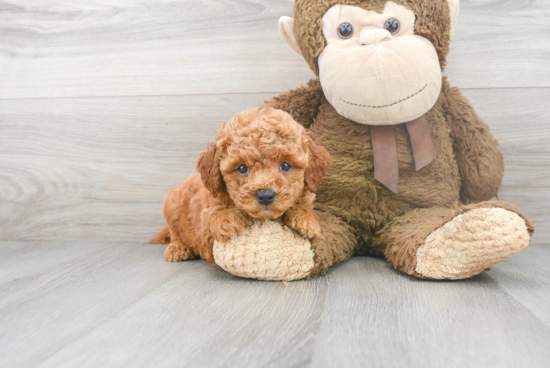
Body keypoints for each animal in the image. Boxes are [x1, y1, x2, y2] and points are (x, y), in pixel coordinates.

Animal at [149, 108, 332, 264]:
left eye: (286, 166)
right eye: (242, 168)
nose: (265, 195)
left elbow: (302, 205)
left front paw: (305, 219)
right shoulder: (205, 222)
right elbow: (212, 216)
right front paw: (226, 218)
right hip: (173, 204)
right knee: (176, 233)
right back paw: (177, 248)